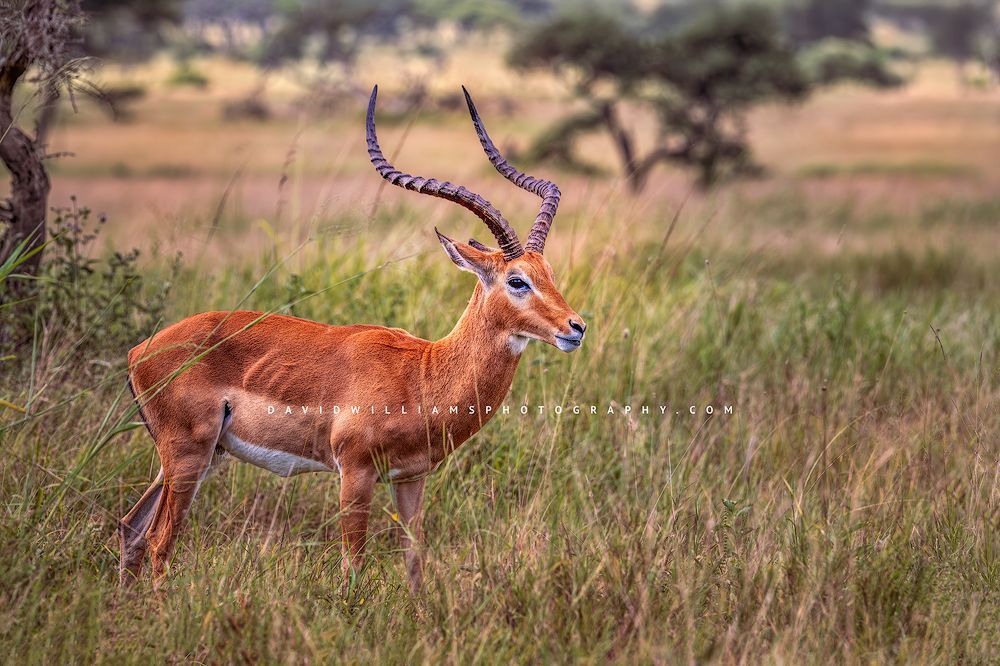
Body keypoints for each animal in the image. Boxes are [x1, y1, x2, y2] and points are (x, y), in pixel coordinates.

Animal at [119, 85, 586, 592]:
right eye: (518, 281)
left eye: (549, 274)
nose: (575, 328)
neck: (423, 374)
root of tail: (139, 351)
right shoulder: (355, 474)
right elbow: (353, 568)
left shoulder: (411, 479)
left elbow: (415, 564)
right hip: (189, 454)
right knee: (160, 541)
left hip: (203, 456)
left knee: (131, 528)